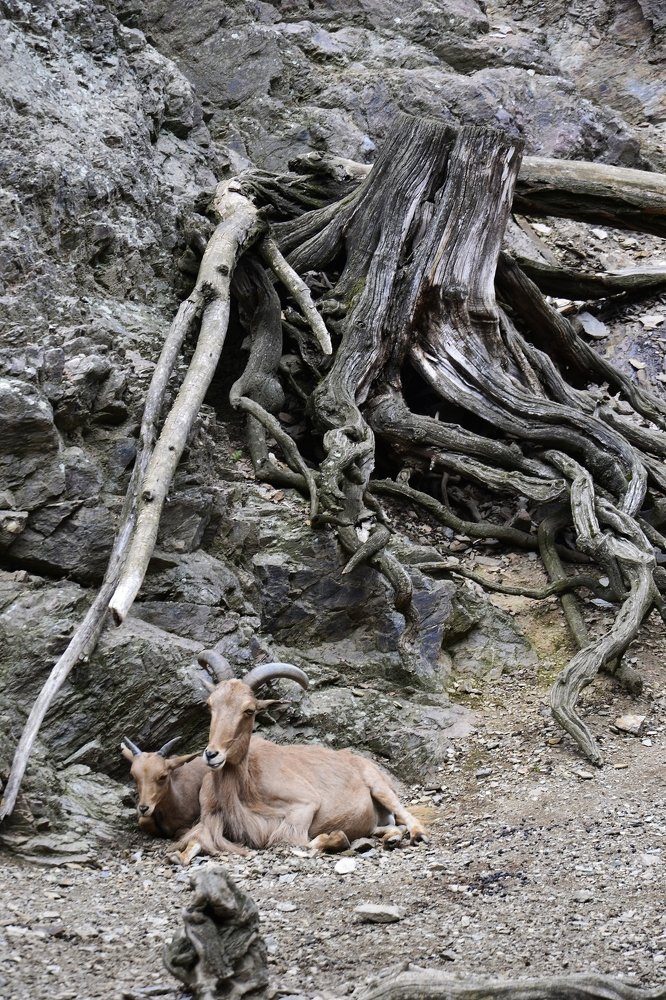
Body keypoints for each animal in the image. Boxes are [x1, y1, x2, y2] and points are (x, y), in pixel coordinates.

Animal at [176, 652, 427, 864]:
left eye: (249, 710)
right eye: (210, 705)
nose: (212, 754)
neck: (246, 786)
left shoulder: (304, 806)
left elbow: (293, 839)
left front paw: (330, 840)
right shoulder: (208, 818)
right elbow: (193, 843)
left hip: (379, 787)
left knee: (408, 817)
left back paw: (415, 835)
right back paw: (391, 837)